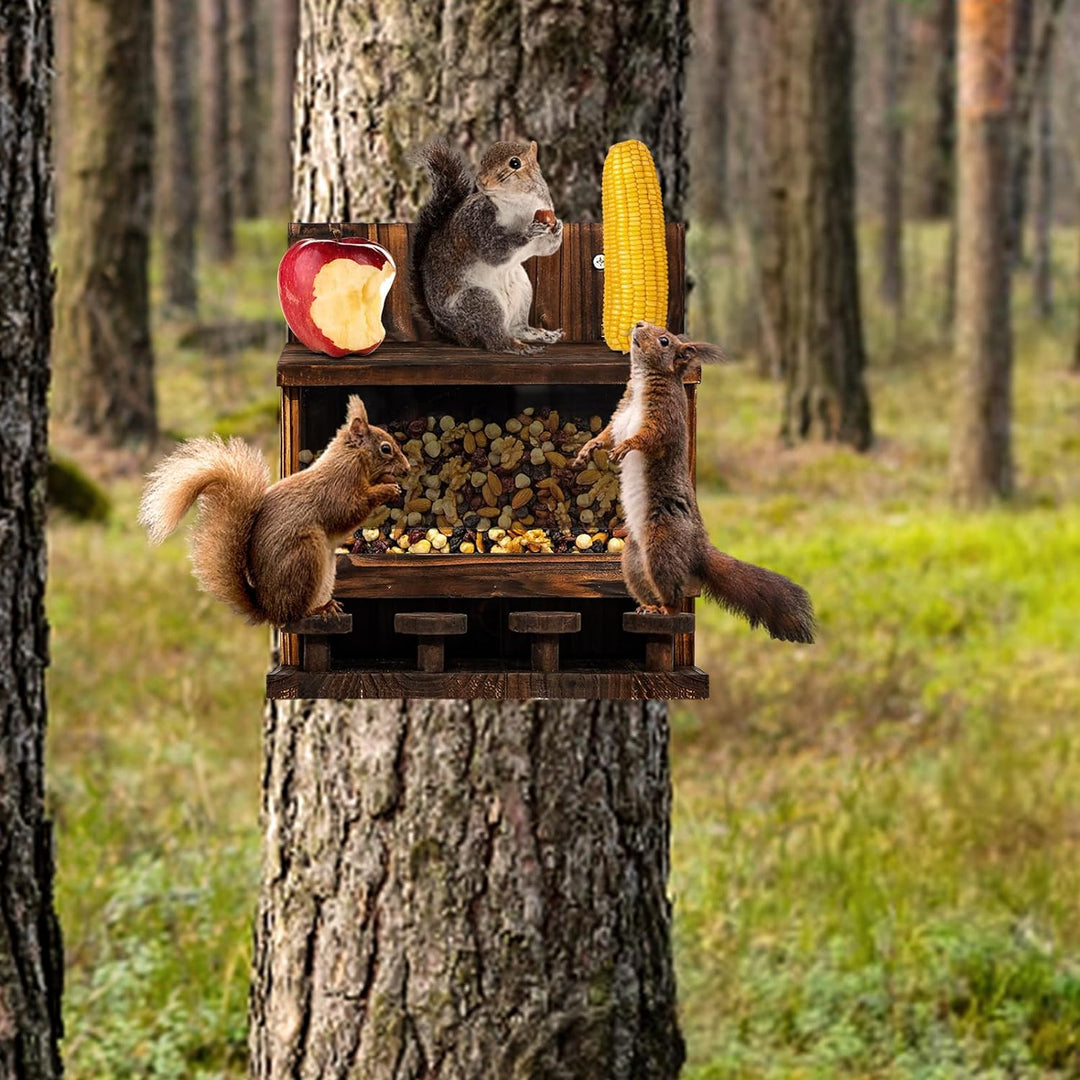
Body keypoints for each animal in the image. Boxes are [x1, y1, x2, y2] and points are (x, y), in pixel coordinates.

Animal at [138, 395, 410, 626]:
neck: (351, 458)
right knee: (296, 614)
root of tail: (270, 610)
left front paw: (388, 482)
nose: (407, 469)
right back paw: (318, 610)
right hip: (305, 557)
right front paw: (388, 489)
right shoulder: (339, 491)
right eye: (386, 448)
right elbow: (353, 508)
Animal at [410, 136, 564, 354]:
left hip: (523, 290)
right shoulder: (476, 222)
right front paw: (527, 232)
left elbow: (546, 249)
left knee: (517, 329)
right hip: (479, 303)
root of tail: (455, 335)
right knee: (495, 340)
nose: (481, 181)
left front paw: (558, 227)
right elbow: (494, 252)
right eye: (483, 160)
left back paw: (541, 335)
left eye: (515, 163)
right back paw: (517, 346)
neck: (518, 203)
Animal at [575, 322, 815, 643]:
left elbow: (647, 438)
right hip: (634, 559)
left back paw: (666, 610)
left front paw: (626, 447)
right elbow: (607, 435)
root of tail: (697, 548)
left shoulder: (663, 418)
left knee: (675, 597)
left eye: (665, 340)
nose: (638, 324)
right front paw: (588, 449)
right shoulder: (620, 417)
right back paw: (649, 606)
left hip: (662, 545)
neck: (642, 382)